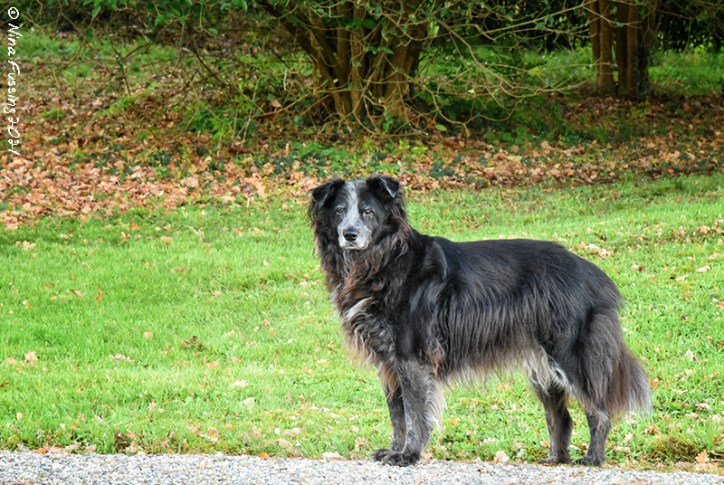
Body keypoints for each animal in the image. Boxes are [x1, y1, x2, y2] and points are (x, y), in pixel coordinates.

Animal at [308, 175, 651, 467]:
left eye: (368, 211)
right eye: (340, 211)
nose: (349, 235)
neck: (385, 260)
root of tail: (592, 273)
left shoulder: (412, 357)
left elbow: (415, 413)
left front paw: (409, 455)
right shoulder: (388, 363)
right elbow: (397, 414)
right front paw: (394, 450)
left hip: (569, 355)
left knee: (599, 411)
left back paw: (593, 458)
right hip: (542, 364)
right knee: (561, 416)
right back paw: (556, 459)